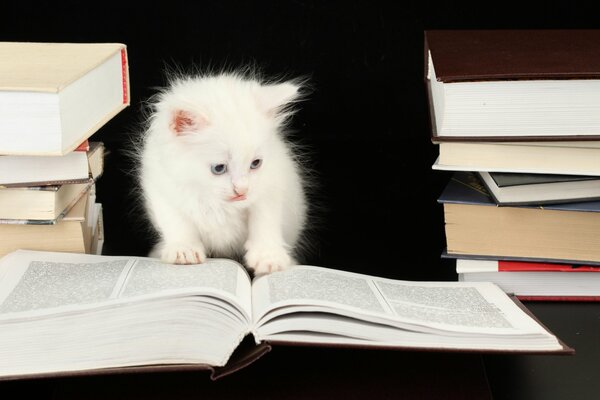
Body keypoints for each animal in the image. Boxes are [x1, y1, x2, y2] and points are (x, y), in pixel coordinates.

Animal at [138, 72, 308, 274]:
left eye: (255, 164)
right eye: (219, 168)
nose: (242, 190)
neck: (215, 202)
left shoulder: (272, 183)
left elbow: (265, 219)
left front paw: (268, 256)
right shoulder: (162, 187)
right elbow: (177, 222)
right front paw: (184, 249)